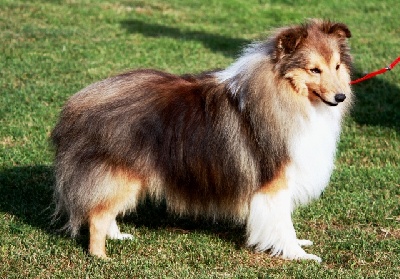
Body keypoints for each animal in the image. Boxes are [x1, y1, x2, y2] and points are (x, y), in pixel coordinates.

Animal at [50, 19, 354, 262]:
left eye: (337, 66)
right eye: (314, 70)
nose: (341, 97)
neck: (285, 93)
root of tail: (76, 105)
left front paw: (297, 245)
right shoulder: (275, 182)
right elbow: (282, 222)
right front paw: (299, 255)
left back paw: (117, 237)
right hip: (121, 175)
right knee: (97, 215)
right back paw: (100, 257)